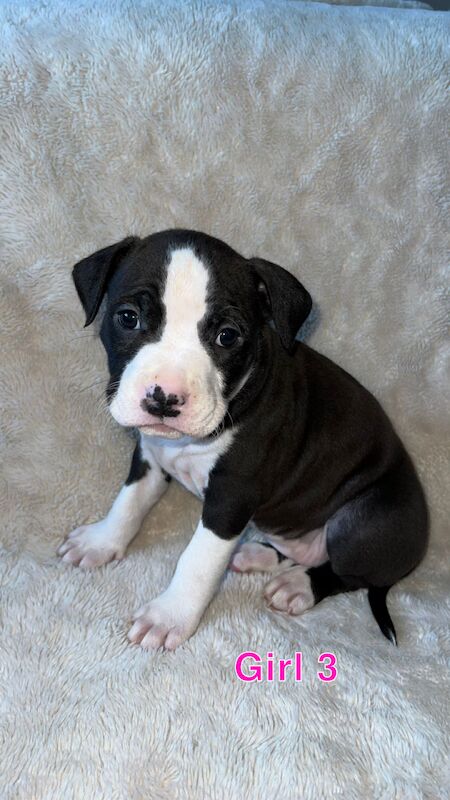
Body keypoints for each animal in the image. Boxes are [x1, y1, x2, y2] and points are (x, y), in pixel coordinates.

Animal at [59, 227, 428, 648]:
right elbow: (129, 501)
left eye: (227, 336)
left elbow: (198, 560)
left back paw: (298, 586)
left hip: (369, 521)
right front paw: (100, 542)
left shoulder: (231, 497)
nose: (164, 398)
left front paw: (169, 616)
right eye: (127, 317)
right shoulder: (150, 455)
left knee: (347, 574)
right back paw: (258, 555)